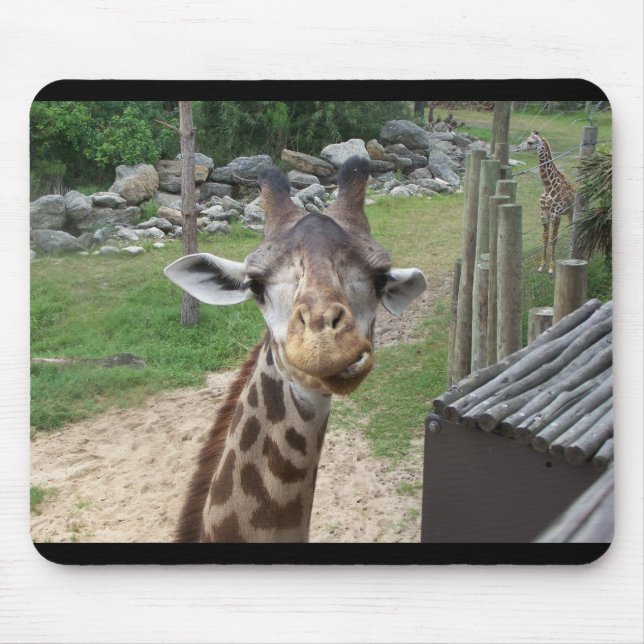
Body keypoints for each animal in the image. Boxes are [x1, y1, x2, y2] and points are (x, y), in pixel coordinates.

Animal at [515, 131, 575, 273]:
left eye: (530, 142)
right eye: (526, 138)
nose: (517, 148)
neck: (548, 187)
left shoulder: (556, 214)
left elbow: (553, 239)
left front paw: (552, 268)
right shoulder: (543, 213)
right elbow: (545, 238)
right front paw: (542, 266)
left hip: (572, 210)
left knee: (573, 228)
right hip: (566, 213)